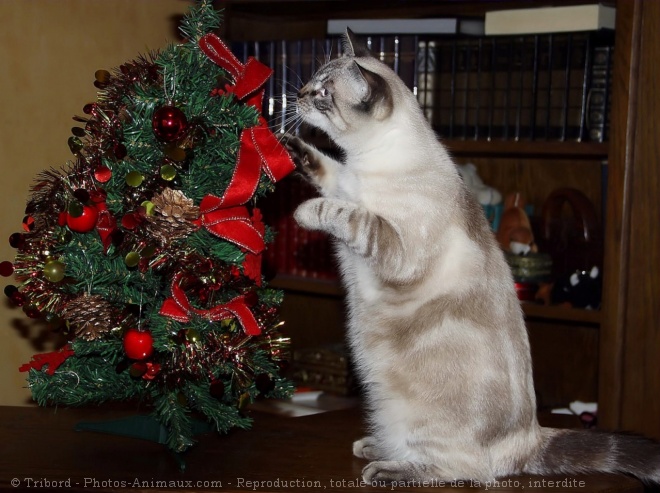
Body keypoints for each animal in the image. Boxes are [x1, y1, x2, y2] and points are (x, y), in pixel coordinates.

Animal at [284, 28, 660, 482]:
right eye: (312, 82)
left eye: (323, 92)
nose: (297, 94)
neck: (365, 162)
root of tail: (530, 435)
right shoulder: (344, 181)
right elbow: (327, 170)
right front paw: (289, 146)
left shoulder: (394, 246)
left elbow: (345, 213)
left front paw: (304, 212)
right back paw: (376, 445)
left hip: (428, 427)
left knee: (465, 468)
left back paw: (388, 468)